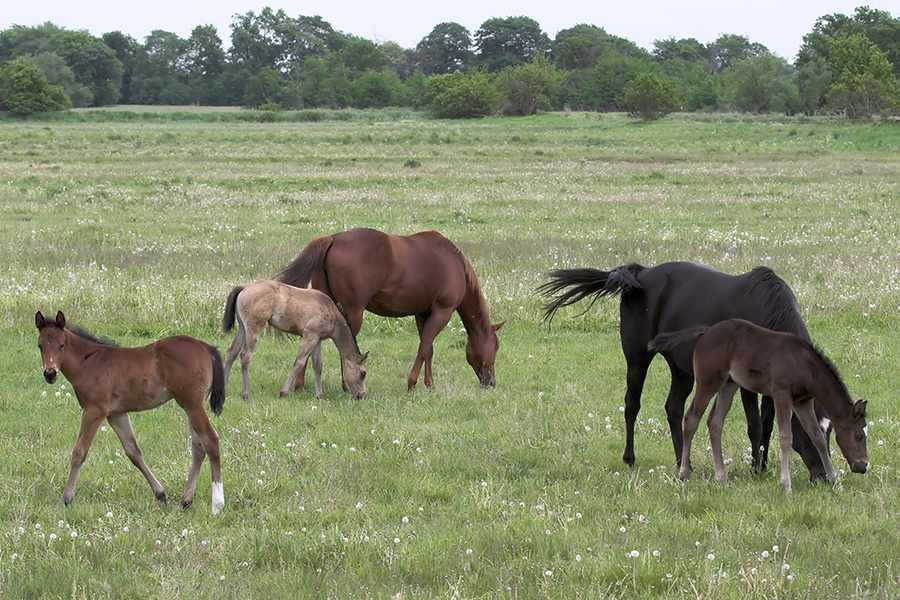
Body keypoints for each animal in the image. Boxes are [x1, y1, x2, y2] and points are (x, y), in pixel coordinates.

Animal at [37, 312, 229, 512]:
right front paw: (160, 495)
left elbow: (79, 452)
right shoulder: (116, 414)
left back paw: (217, 504)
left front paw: (65, 499)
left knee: (210, 440)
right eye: (40, 345)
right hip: (195, 404)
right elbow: (133, 452)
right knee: (198, 447)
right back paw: (186, 501)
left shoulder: (94, 410)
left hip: (192, 404)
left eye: (61, 345)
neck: (89, 362)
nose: (50, 373)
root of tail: (205, 347)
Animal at [221, 280, 366, 398]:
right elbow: (299, 363)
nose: (362, 395)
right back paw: (247, 394)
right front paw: (284, 392)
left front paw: (319, 395)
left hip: (242, 329)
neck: (329, 309)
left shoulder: (317, 339)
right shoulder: (309, 336)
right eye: (363, 373)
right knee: (245, 355)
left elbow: (318, 365)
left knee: (231, 352)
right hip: (254, 327)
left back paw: (224, 388)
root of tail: (245, 287)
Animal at [280, 227, 506, 392]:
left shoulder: (422, 313)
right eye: (494, 348)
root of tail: (332, 239)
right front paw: (412, 384)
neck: (455, 264)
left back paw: (299, 384)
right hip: (353, 313)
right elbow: (424, 347)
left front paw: (429, 384)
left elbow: (429, 349)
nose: (491, 383)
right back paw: (344, 385)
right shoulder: (442, 312)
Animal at [536, 260, 832, 480]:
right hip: (637, 358)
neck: (765, 311)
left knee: (674, 410)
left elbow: (769, 425)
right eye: (811, 431)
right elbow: (756, 426)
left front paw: (764, 465)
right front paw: (757, 468)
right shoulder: (746, 384)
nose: (822, 475)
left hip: (682, 370)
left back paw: (682, 460)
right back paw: (630, 458)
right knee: (632, 404)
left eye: (828, 433)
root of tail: (641, 273)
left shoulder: (774, 382)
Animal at [652, 318, 868, 492]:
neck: (804, 364)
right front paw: (786, 485)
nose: (863, 466)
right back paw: (684, 474)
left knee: (714, 422)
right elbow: (785, 437)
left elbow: (817, 437)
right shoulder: (782, 395)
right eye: (858, 436)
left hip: (729, 385)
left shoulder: (802, 401)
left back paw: (721, 477)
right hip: (708, 381)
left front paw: (835, 481)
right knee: (691, 419)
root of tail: (706, 332)